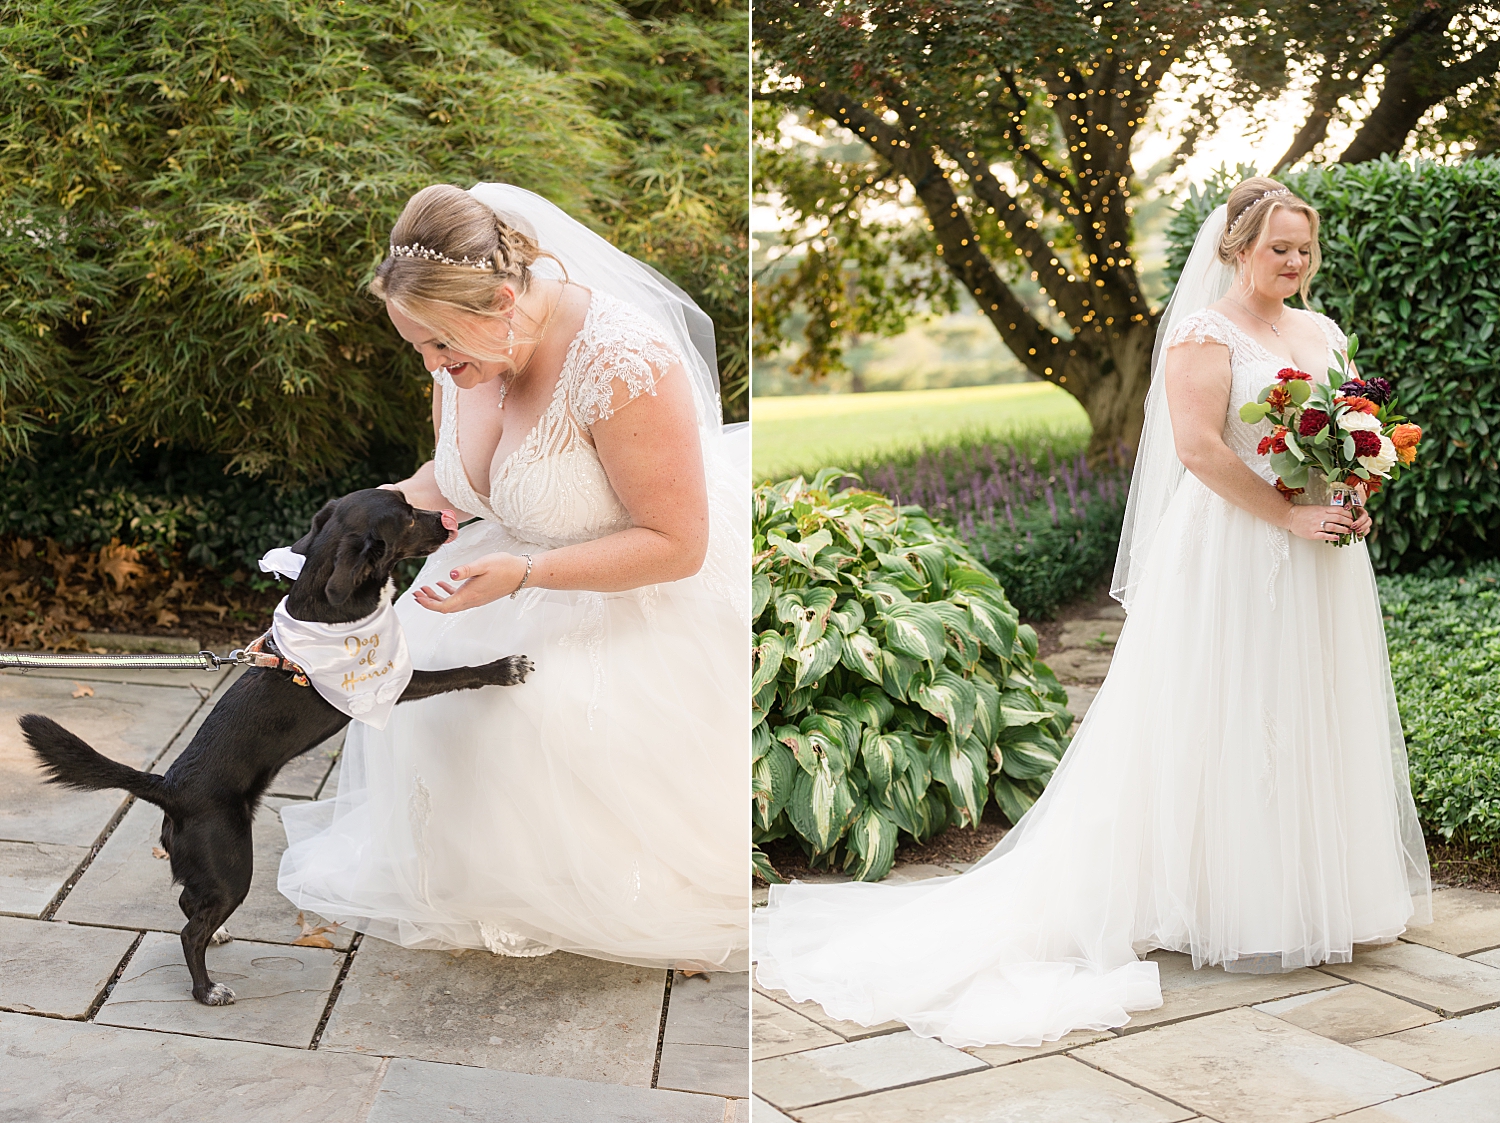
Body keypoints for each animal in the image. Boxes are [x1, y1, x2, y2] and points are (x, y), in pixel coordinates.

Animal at [19, 491, 534, 1007]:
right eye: (407, 517)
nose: (448, 519)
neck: (326, 605)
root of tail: (170, 787)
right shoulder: (392, 683)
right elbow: (455, 673)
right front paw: (504, 667)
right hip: (230, 864)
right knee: (190, 931)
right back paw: (206, 989)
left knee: (189, 903)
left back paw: (218, 935)